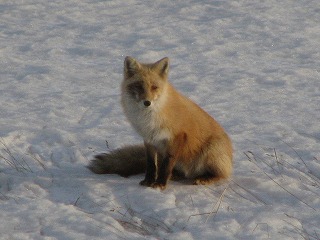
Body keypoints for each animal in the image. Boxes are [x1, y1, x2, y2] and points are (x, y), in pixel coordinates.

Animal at [87, 56, 232, 189]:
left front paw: (160, 184)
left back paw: (205, 178)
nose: (147, 102)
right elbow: (152, 164)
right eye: (139, 86)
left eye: (154, 87)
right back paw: (175, 175)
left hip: (211, 151)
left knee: (222, 175)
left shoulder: (177, 136)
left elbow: (166, 165)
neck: (149, 119)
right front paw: (149, 181)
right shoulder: (149, 139)